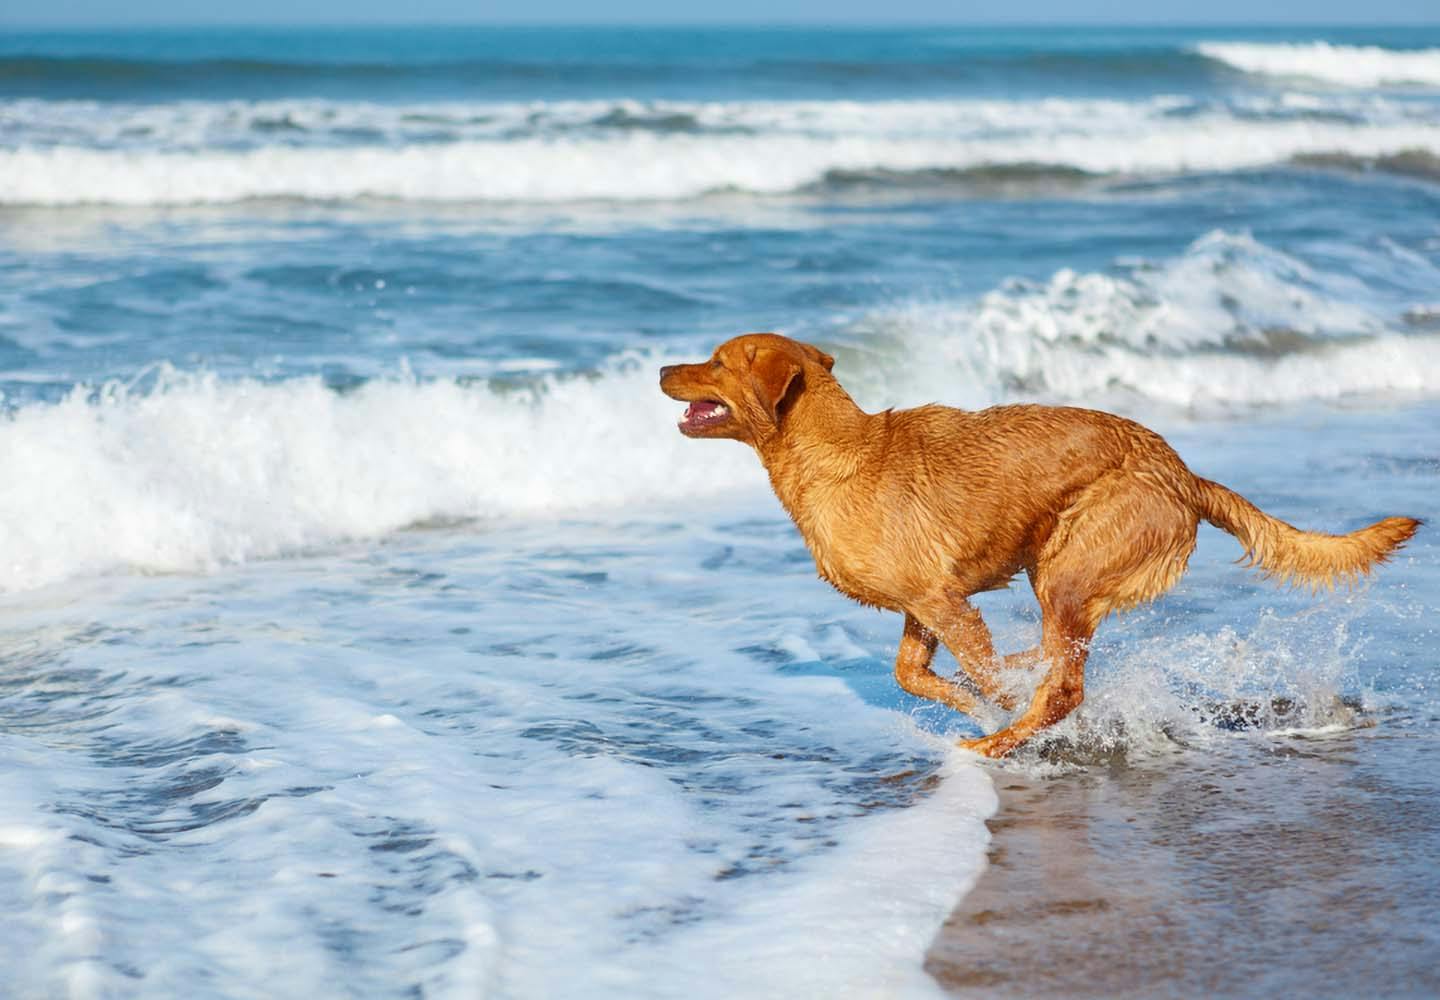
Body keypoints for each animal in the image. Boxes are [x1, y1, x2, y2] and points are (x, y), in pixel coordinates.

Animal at [659, 332, 1422, 755]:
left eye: (716, 362)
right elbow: (914, 674)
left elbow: (985, 674)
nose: (662, 368)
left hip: (1066, 569)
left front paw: (991, 704)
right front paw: (969, 694)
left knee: (1066, 688)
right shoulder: (925, 605)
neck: (835, 453)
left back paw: (998, 741)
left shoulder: (943, 601)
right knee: (1059, 662)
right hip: (1056, 569)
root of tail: (1183, 473)